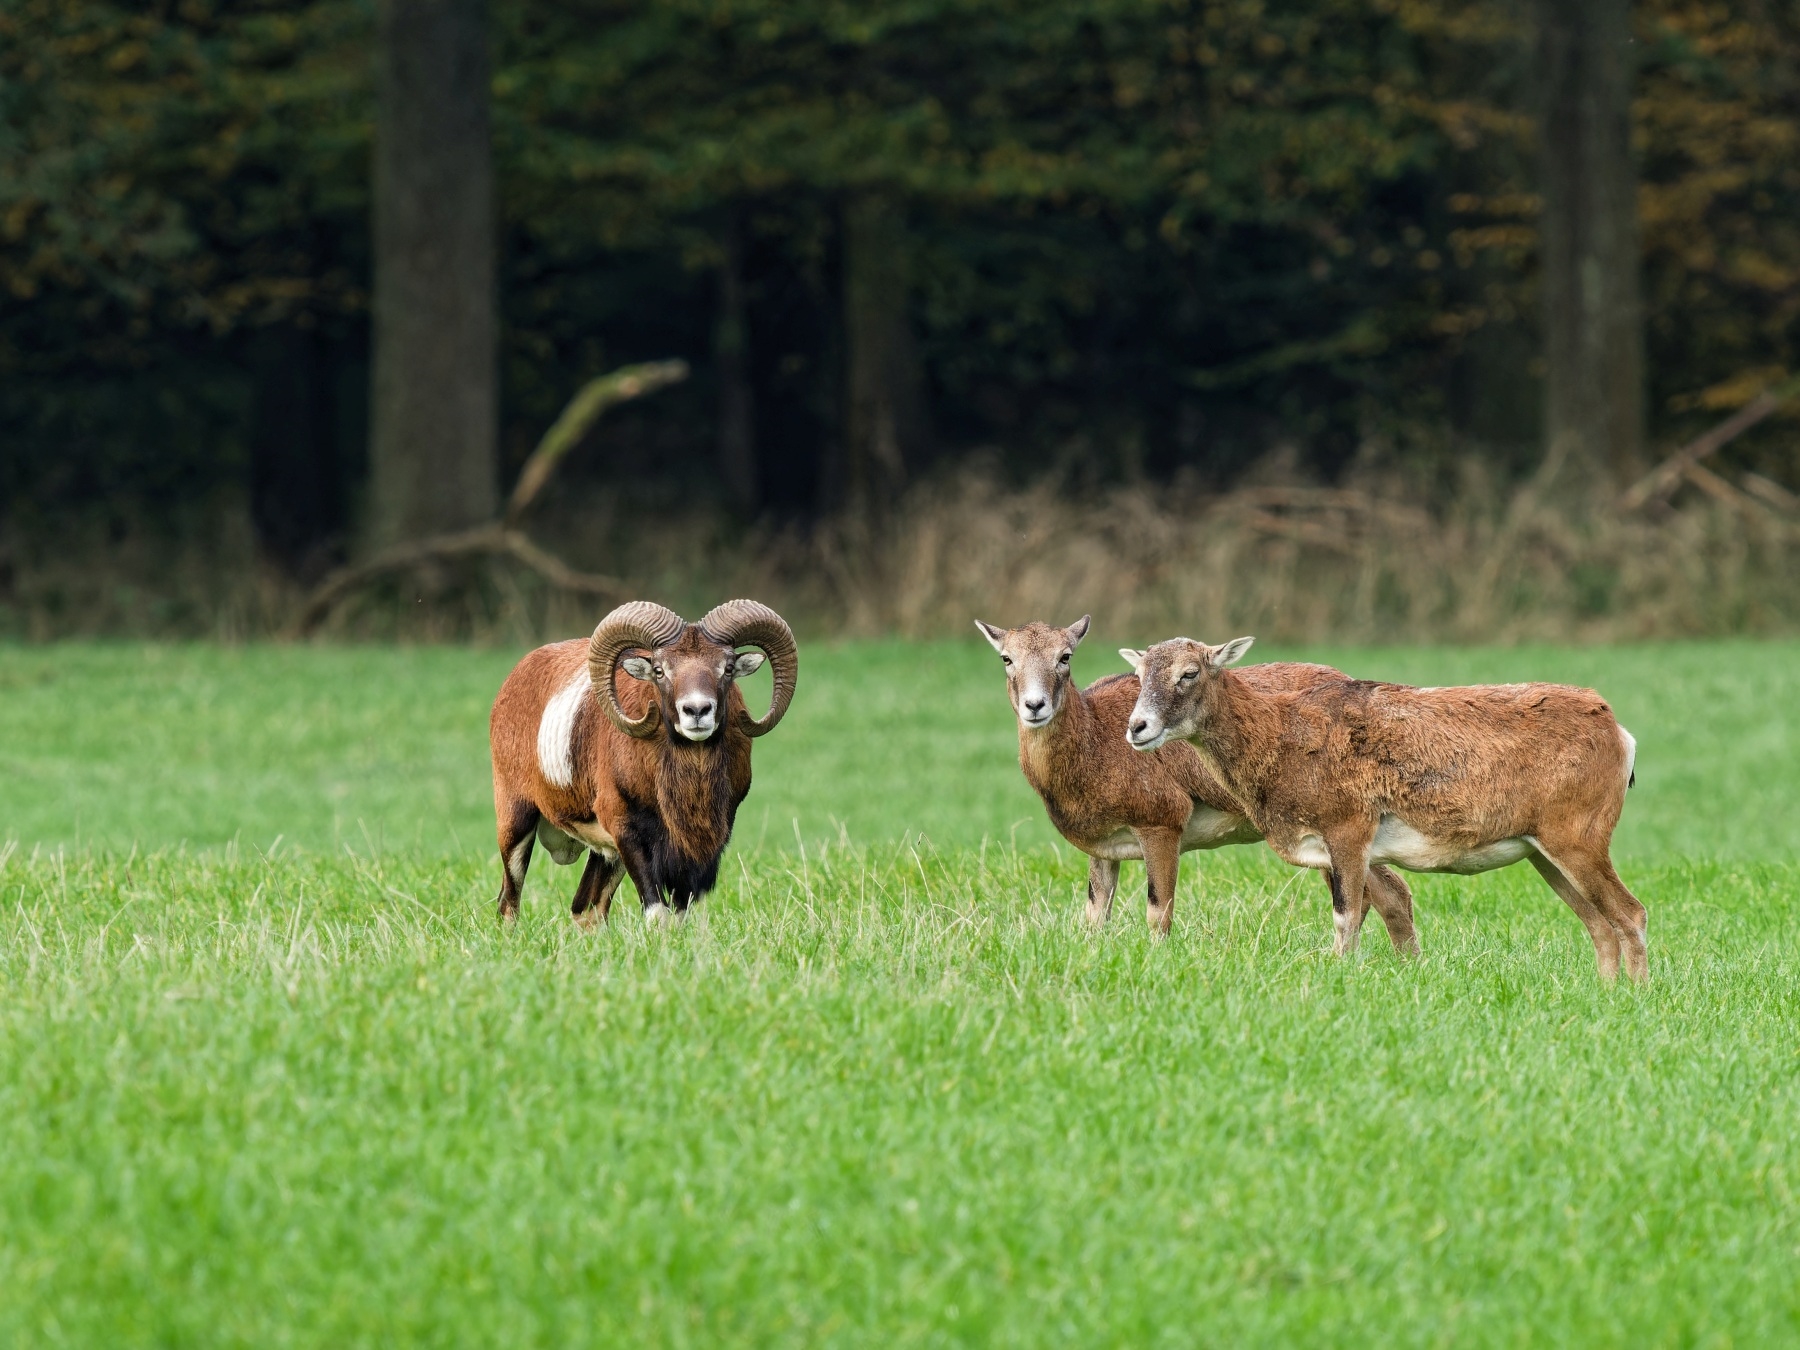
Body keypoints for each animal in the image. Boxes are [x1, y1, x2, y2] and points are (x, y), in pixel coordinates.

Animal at [488, 598, 798, 925]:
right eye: (660, 671)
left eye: (726, 669)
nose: (697, 710)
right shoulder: (630, 834)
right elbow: (657, 912)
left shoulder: (697, 854)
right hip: (516, 824)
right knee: (509, 902)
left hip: (606, 857)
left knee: (586, 910)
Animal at [976, 617, 1417, 943]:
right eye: (1006, 658)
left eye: (1065, 656)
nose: (1035, 705)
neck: (1093, 743)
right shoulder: (1103, 848)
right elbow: (1095, 915)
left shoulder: (1161, 822)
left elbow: (1158, 912)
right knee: (1390, 894)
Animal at [1126, 636, 1645, 979]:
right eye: (1140, 675)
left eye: (1189, 672)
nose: (1137, 727)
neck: (1283, 739)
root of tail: (1624, 736)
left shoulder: (1349, 826)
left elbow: (1347, 916)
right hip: (1543, 850)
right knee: (1600, 924)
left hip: (1578, 836)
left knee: (1631, 914)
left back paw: (1635, 994)